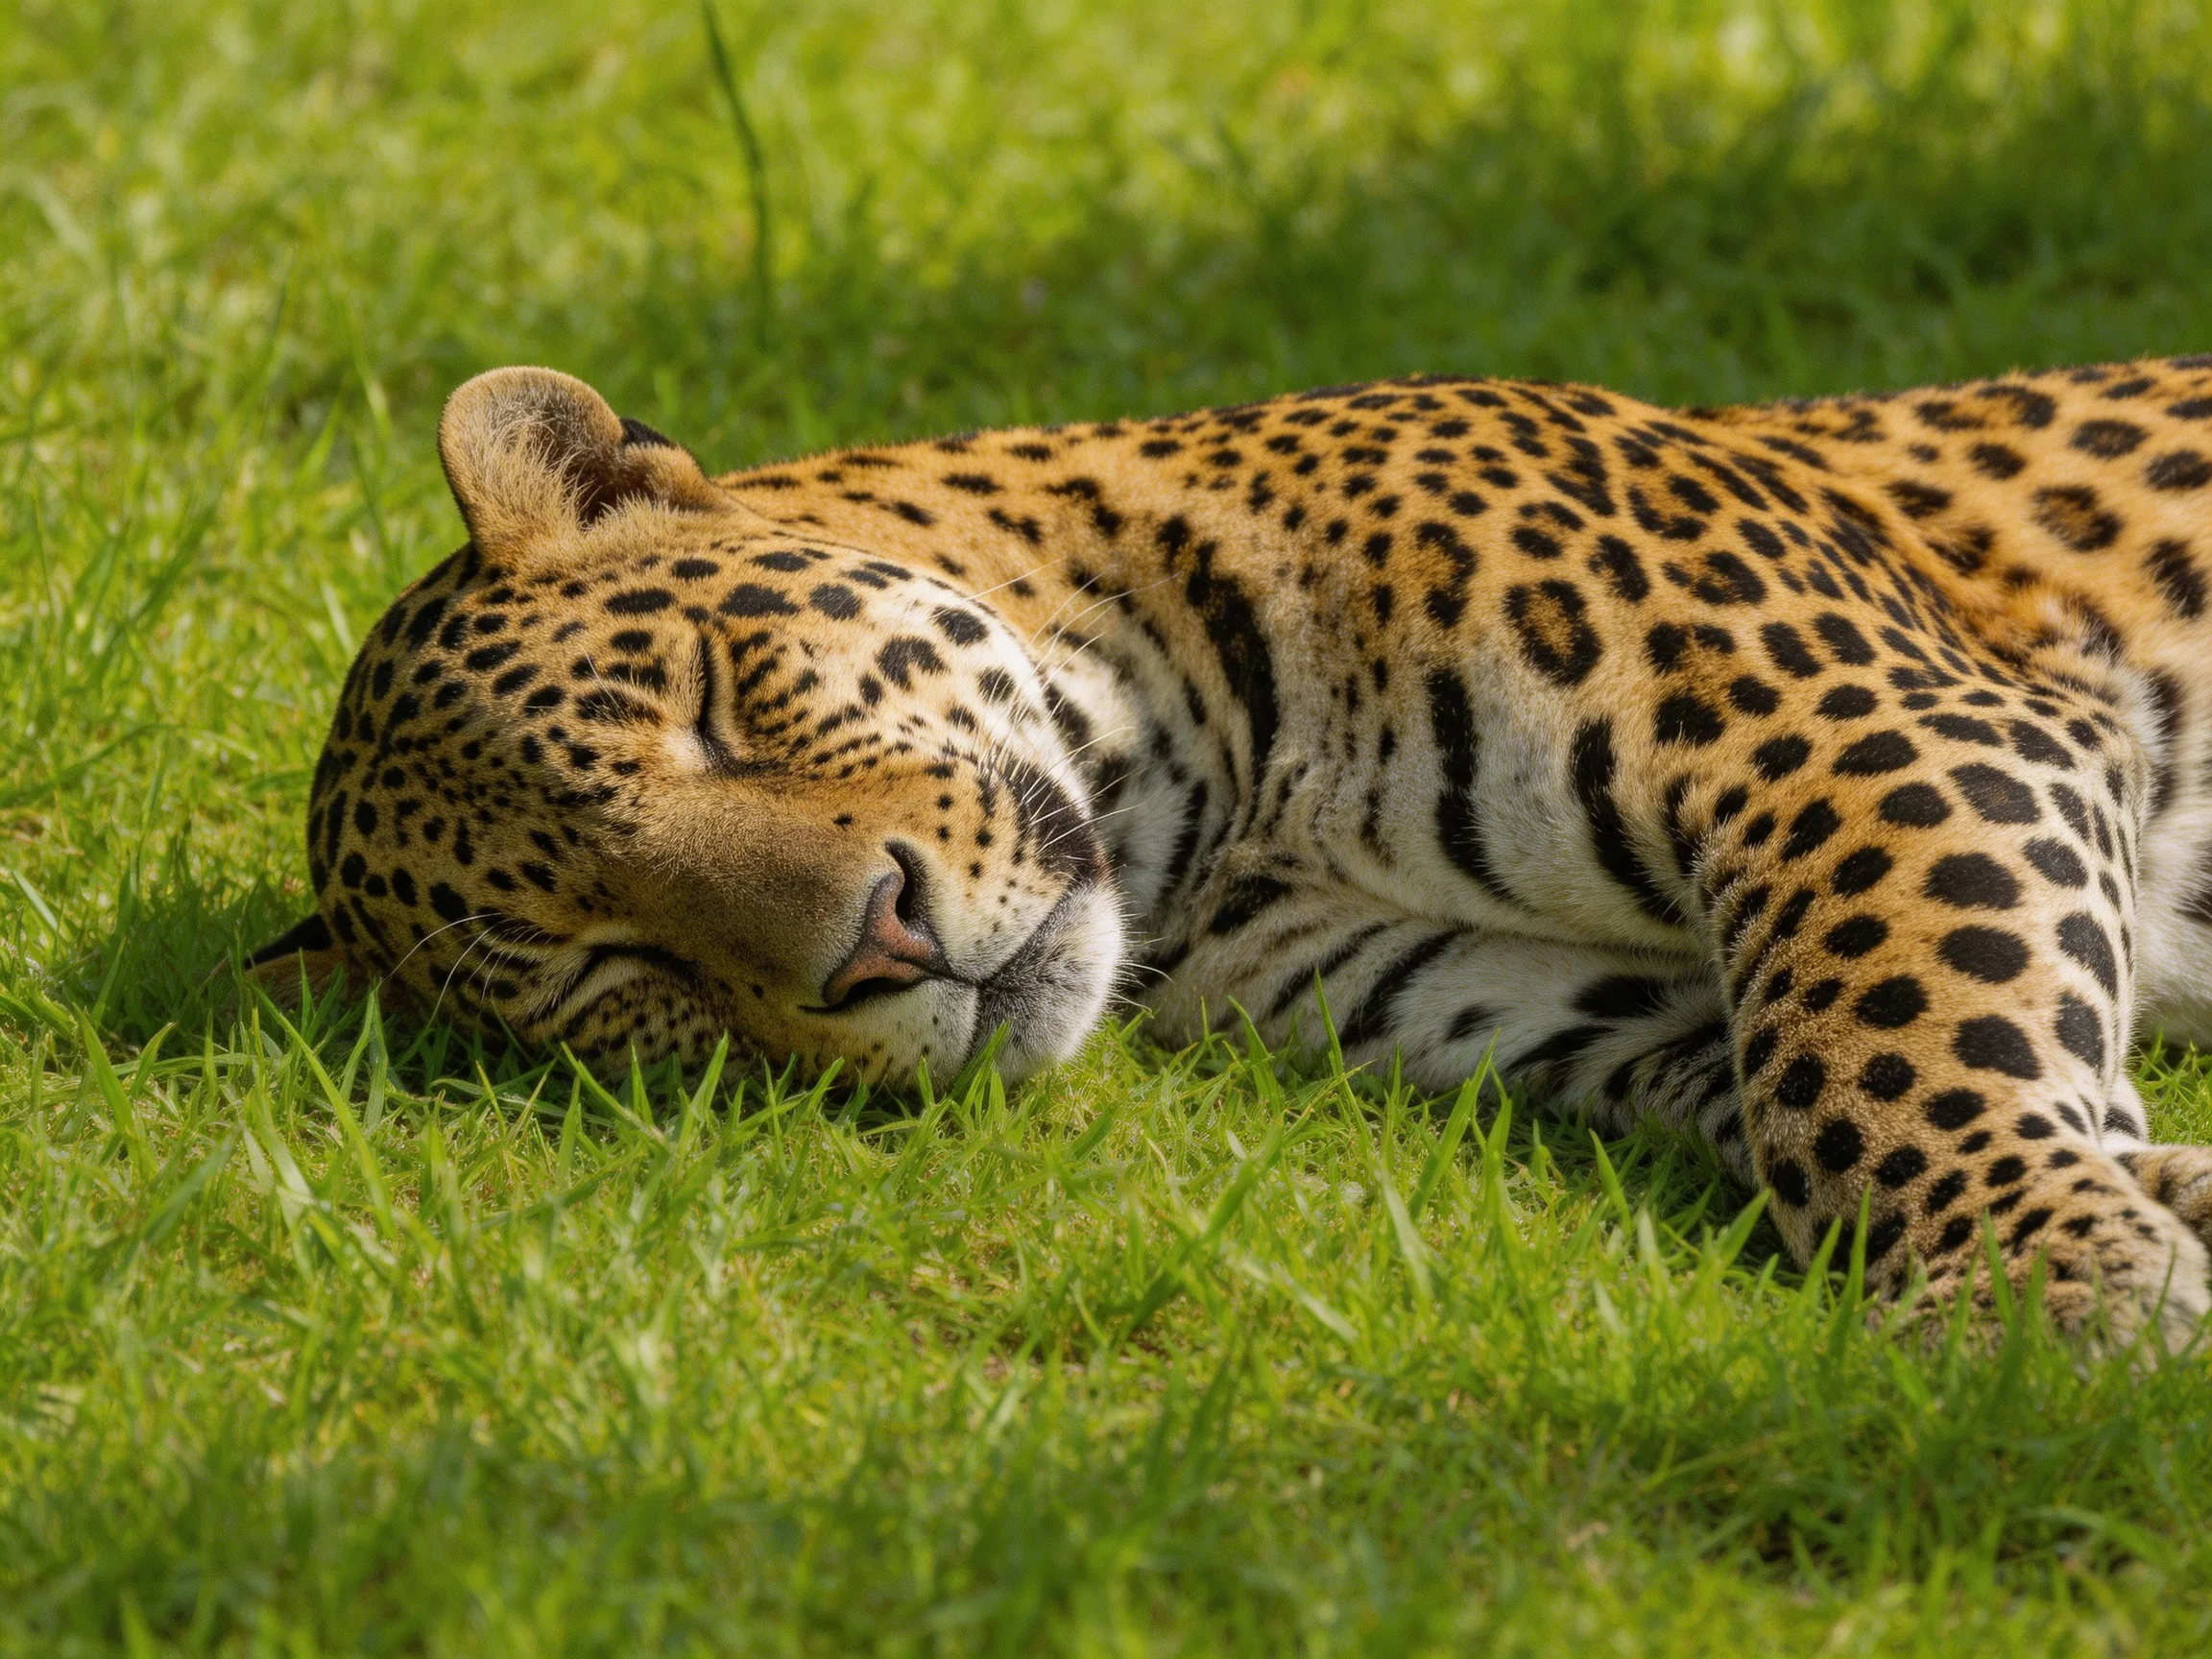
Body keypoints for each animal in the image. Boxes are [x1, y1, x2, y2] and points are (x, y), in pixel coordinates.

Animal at [252, 357, 2212, 1348]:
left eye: (713, 703)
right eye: (616, 971)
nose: (880, 946)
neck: (1206, 827)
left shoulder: (1848, 727)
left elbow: (1880, 1041)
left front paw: (2038, 1283)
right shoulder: (1523, 1000)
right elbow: (1825, 1081)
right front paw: (2139, 1212)